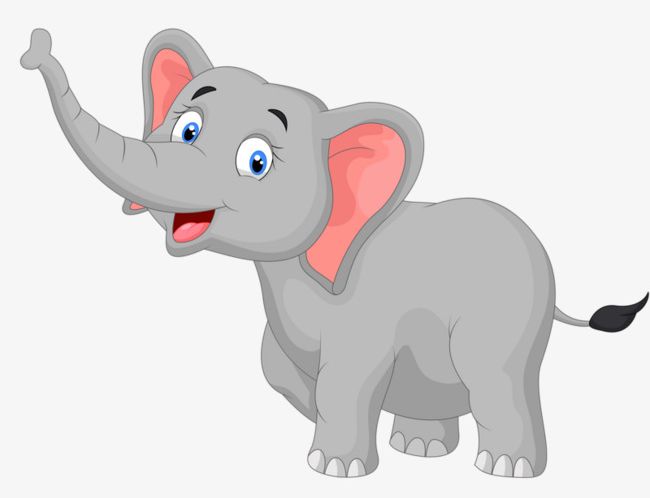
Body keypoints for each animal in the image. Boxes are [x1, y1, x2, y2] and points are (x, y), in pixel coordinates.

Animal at [21, 28, 647, 479]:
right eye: (187, 129)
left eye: (256, 162)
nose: (34, 48)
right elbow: (278, 366)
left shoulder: (364, 316)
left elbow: (347, 376)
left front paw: (332, 470)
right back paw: (420, 449)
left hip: (507, 314)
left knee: (494, 374)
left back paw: (505, 470)